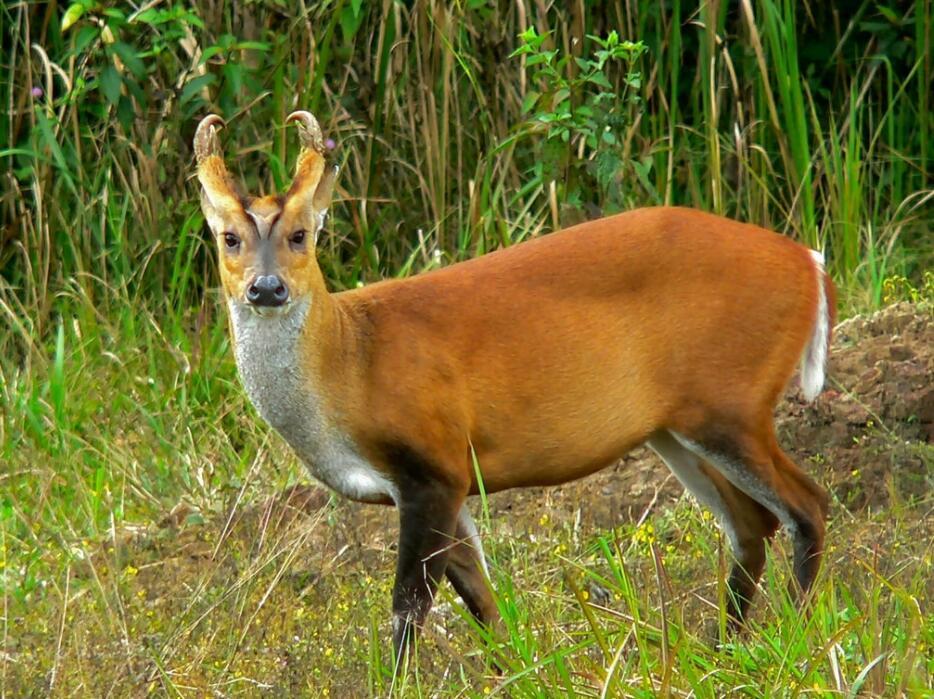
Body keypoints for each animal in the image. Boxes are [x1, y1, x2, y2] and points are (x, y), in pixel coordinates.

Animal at [194, 110, 836, 660]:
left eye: (301, 234)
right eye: (229, 238)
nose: (267, 288)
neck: (351, 364)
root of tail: (810, 262)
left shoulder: (434, 463)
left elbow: (409, 607)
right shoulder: (439, 482)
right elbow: (482, 603)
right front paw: (514, 671)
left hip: (730, 400)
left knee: (807, 504)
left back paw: (797, 640)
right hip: (678, 428)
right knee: (752, 524)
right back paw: (723, 648)